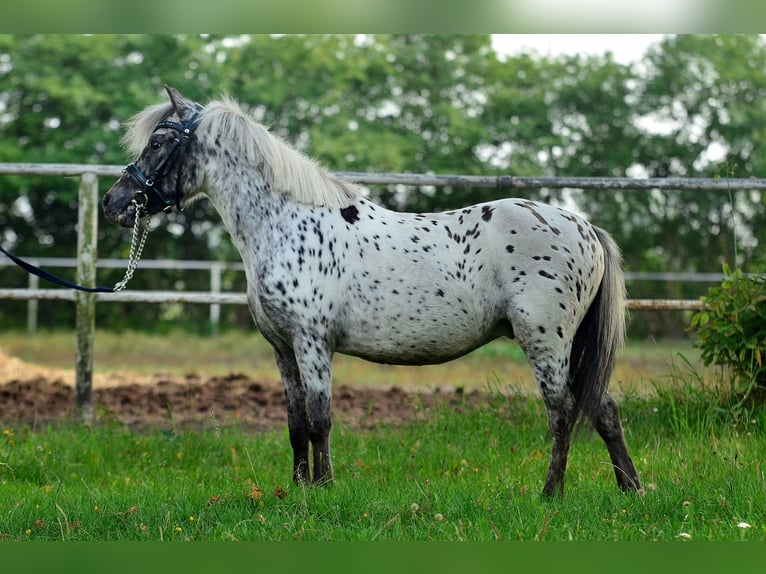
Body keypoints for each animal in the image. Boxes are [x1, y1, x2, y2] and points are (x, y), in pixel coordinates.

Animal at [103, 86, 642, 497]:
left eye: (161, 142)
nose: (113, 203)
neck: (286, 223)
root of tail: (585, 227)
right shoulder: (283, 349)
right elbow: (295, 424)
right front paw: (298, 489)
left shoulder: (313, 344)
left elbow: (320, 421)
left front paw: (324, 490)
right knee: (604, 411)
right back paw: (630, 489)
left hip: (546, 341)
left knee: (563, 412)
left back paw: (550, 494)